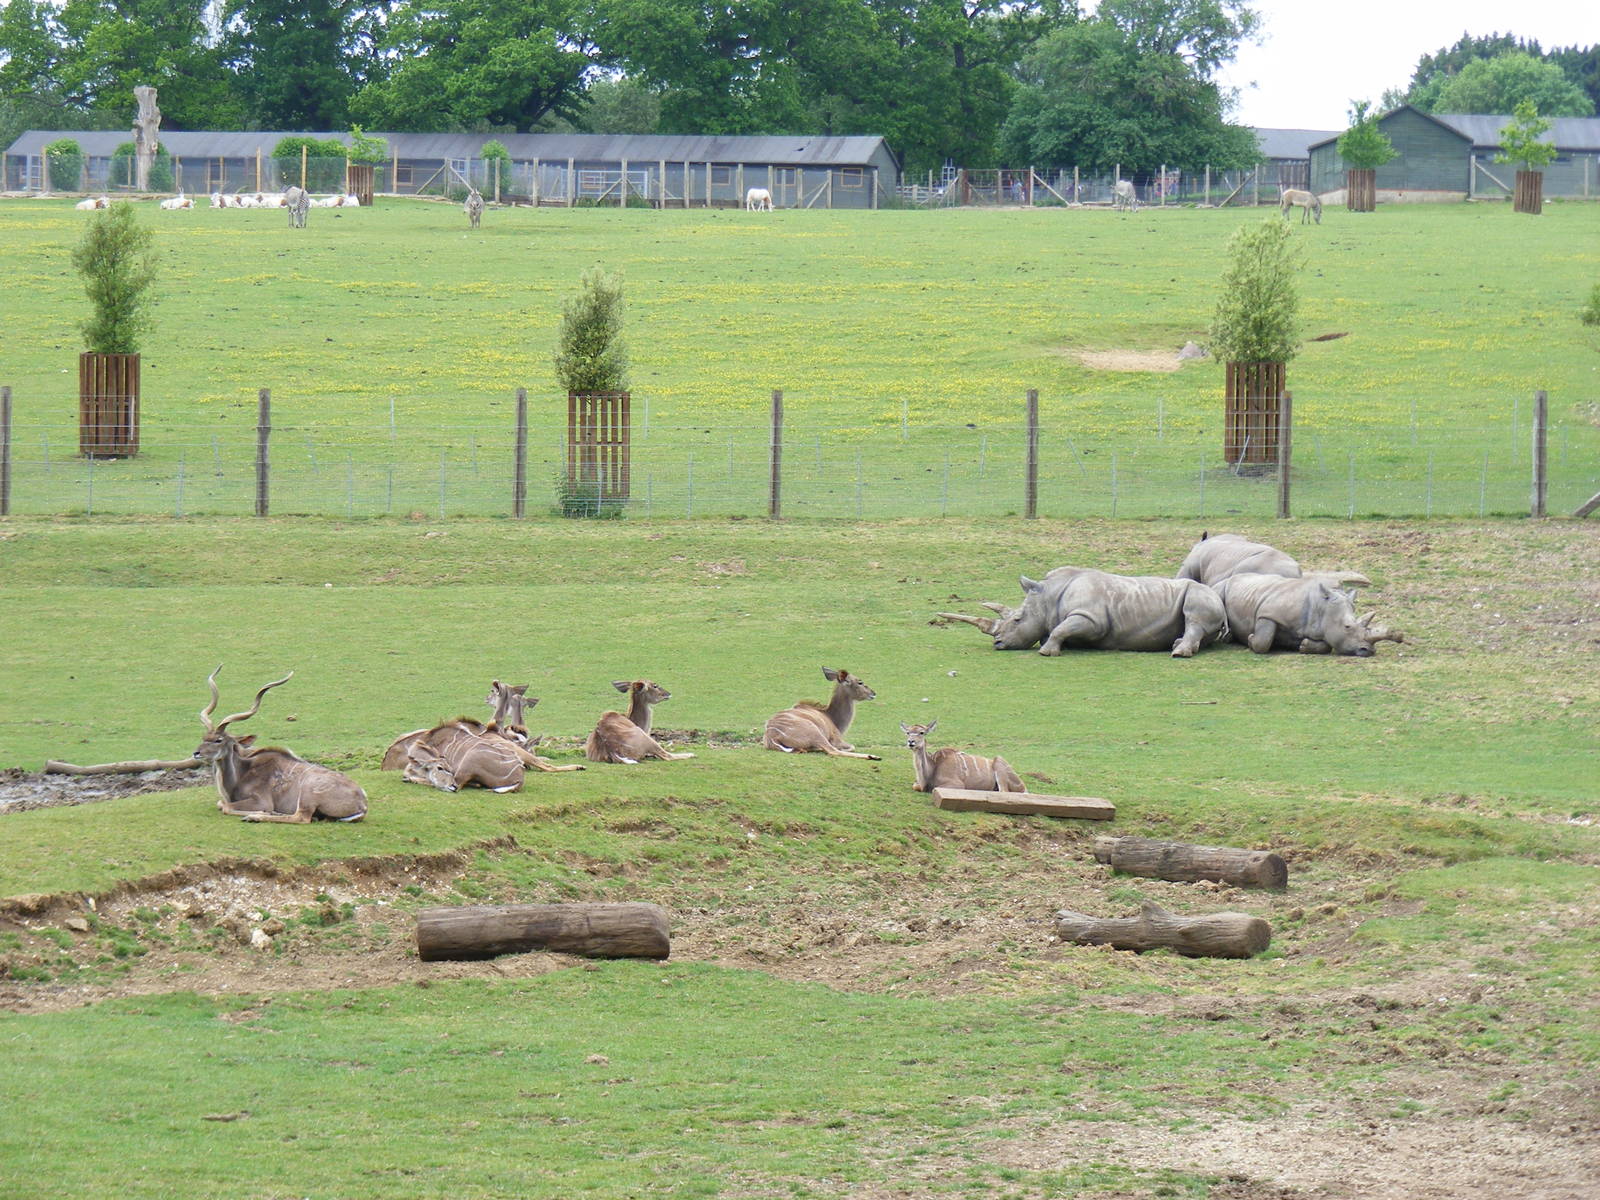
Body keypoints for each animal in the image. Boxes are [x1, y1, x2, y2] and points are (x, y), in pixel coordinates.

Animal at [941, 567, 1228, 658]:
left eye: (1017, 620)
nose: (998, 643)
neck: (1047, 597)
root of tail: (1218, 595)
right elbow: (1056, 630)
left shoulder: (1091, 618)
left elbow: (1061, 629)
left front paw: (1046, 652)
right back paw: (1176, 644)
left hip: (1202, 594)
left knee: (1195, 615)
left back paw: (1178, 653)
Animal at [1213, 573, 1403, 656]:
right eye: (1347, 626)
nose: (1368, 650)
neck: (1321, 607)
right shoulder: (1268, 613)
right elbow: (1263, 641)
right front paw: (1250, 639)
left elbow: (1326, 646)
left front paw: (1303, 645)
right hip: (1222, 586)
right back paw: (1228, 638)